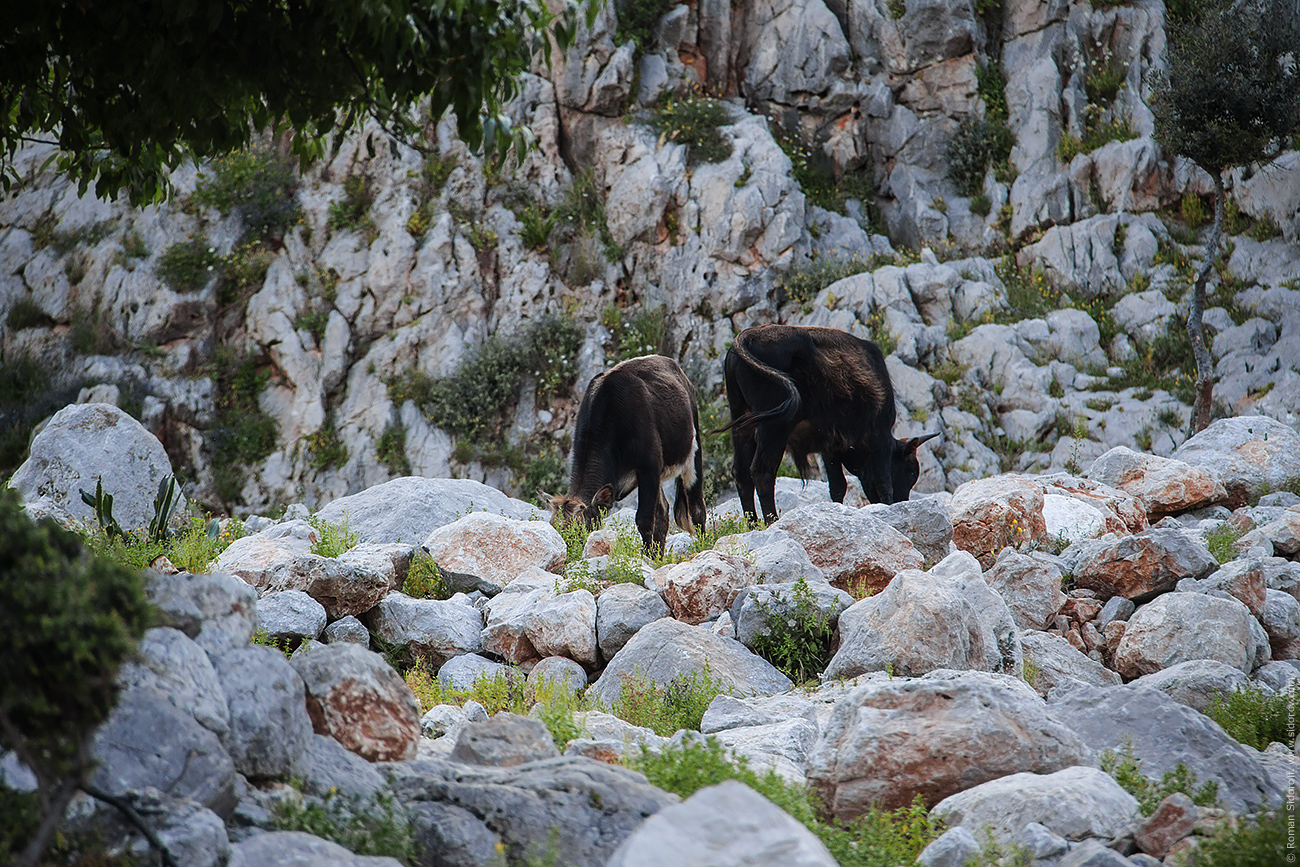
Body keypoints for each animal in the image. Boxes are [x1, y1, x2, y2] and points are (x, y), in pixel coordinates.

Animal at [551, 356, 712, 553]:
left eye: (579, 529)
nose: (569, 556)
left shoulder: (649, 466)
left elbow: (644, 519)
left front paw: (648, 557)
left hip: (693, 451)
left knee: (697, 507)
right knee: (663, 511)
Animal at [717, 323, 941, 522]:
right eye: (911, 471)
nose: (902, 501)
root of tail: (747, 336)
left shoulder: (830, 446)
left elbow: (838, 485)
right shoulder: (880, 436)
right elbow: (883, 481)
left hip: (743, 422)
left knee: (741, 473)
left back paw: (753, 524)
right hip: (774, 427)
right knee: (762, 472)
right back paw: (772, 521)